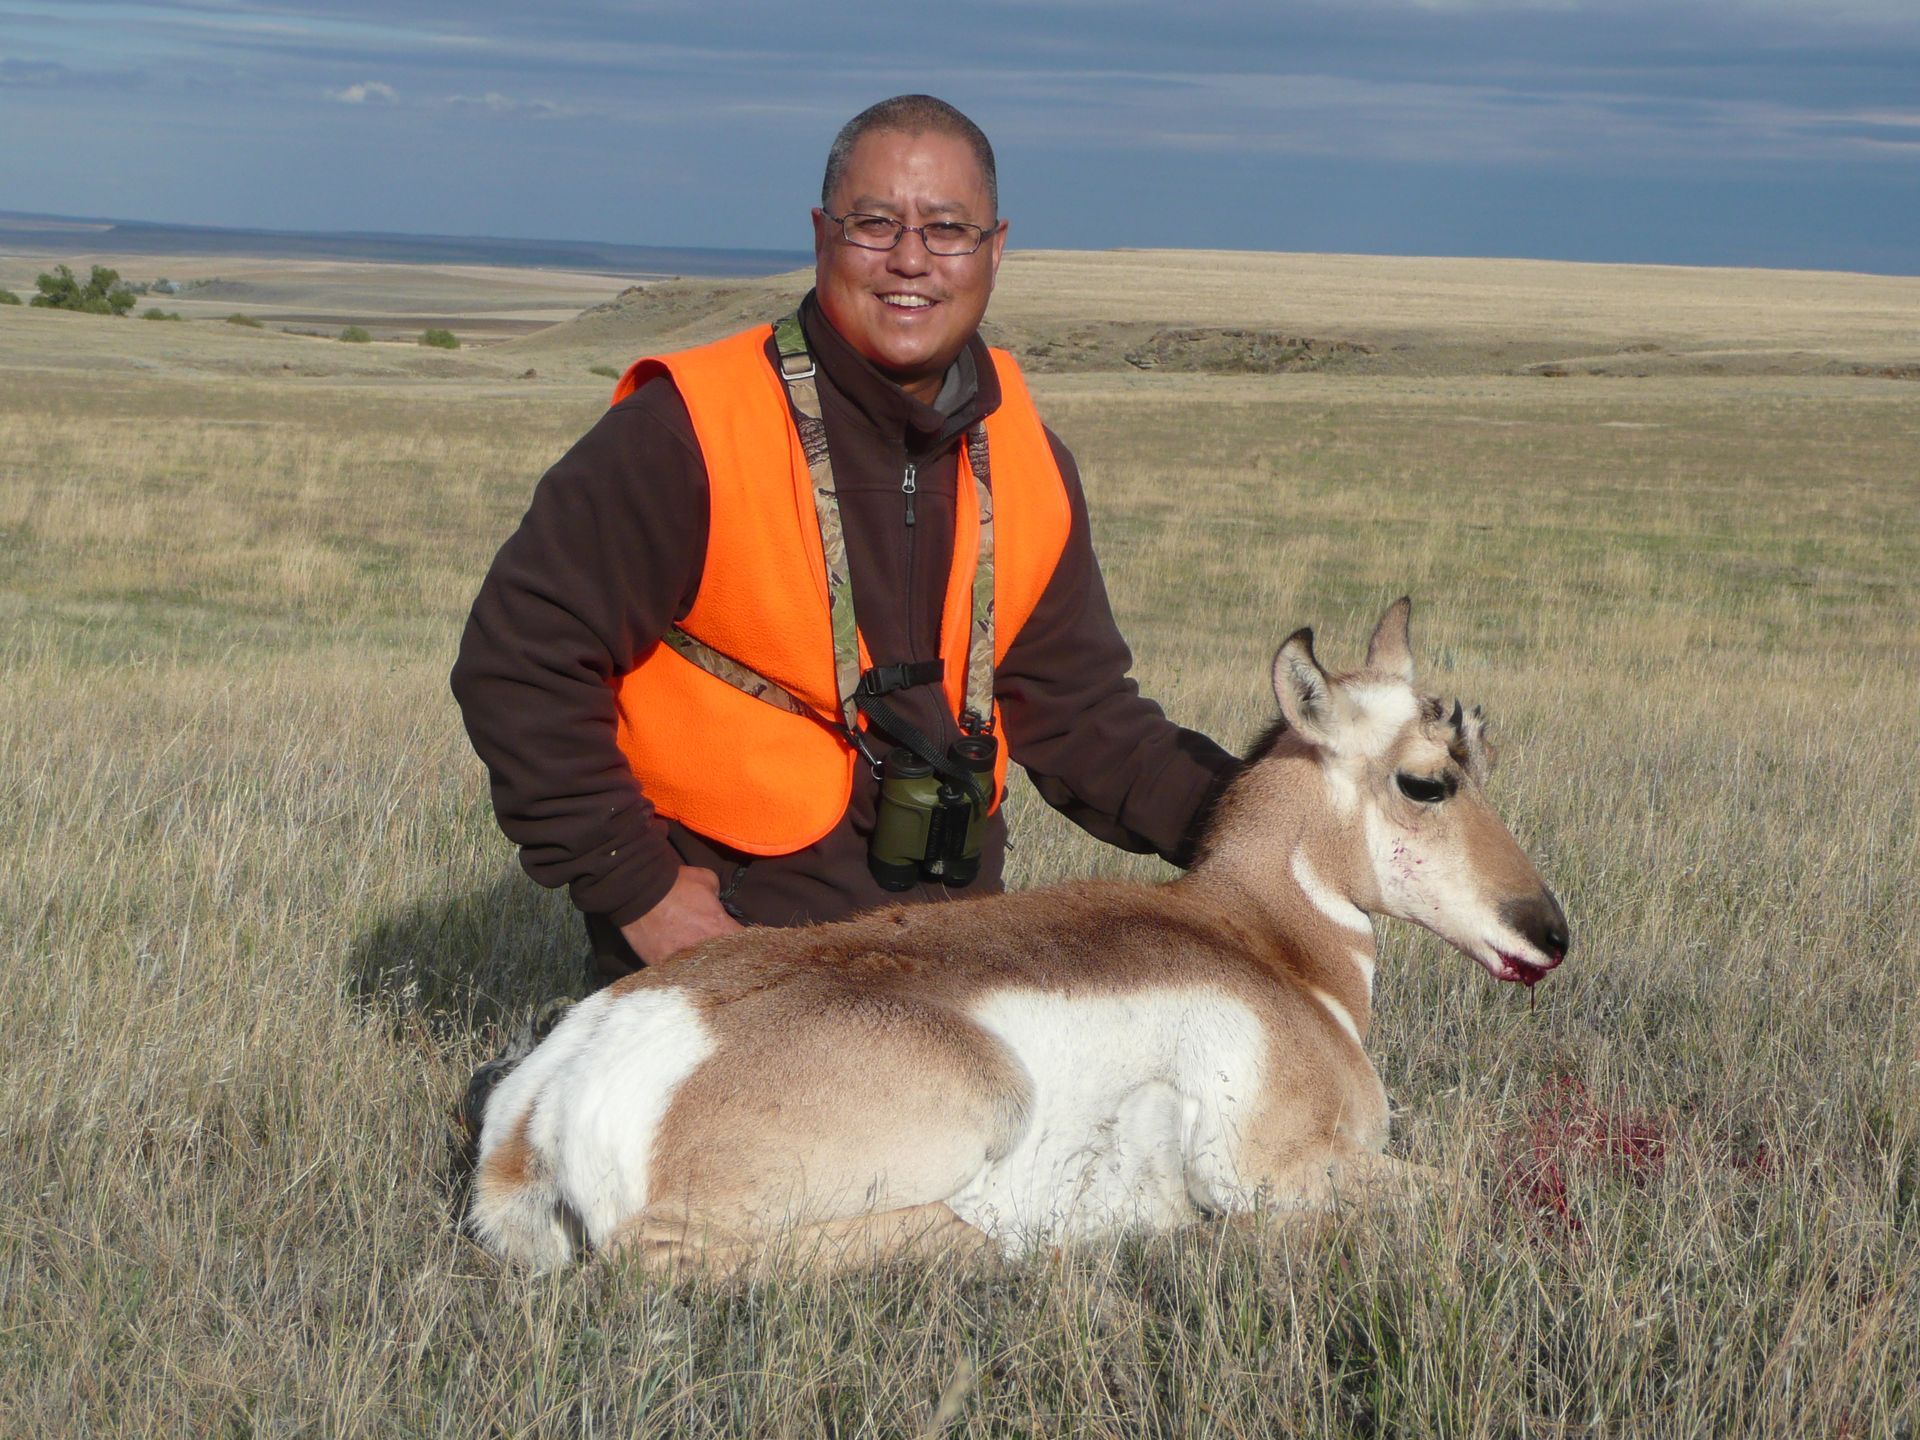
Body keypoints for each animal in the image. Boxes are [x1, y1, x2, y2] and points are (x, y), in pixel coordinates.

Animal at [468, 599, 1569, 1271]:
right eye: (1427, 780)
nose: (1549, 933)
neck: (1262, 942)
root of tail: (552, 1095)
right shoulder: (1272, 1169)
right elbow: (1459, 1190)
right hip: (979, 1102)